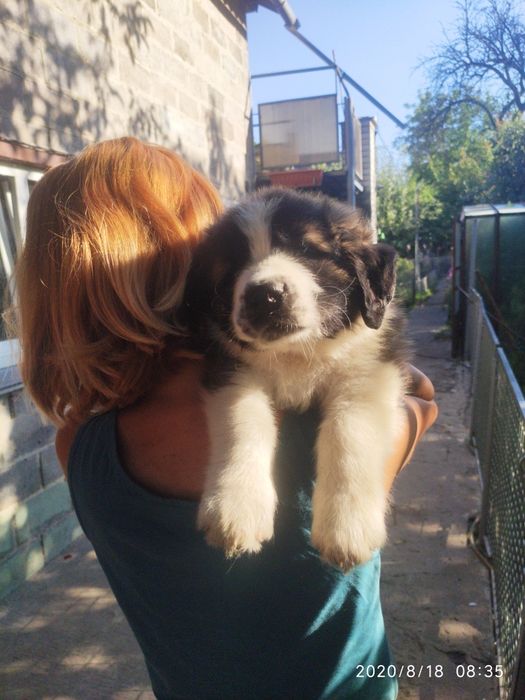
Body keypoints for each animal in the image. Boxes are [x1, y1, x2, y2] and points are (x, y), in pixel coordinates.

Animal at [183, 188, 408, 571]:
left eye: (307, 250)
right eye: (232, 269)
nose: (264, 295)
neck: (298, 353)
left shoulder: (368, 373)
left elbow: (348, 432)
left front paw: (347, 527)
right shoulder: (232, 371)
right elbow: (245, 421)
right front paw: (236, 507)